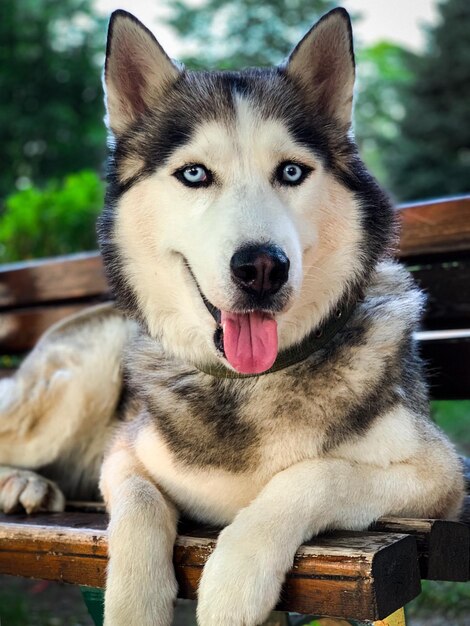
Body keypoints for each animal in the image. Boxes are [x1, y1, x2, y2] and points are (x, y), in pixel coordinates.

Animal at [0, 8, 462, 624]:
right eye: (195, 174)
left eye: (291, 172)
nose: (262, 267)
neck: (250, 383)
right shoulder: (123, 452)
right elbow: (141, 503)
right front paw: (136, 601)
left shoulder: (441, 476)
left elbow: (315, 473)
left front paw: (237, 574)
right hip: (78, 385)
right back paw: (22, 482)